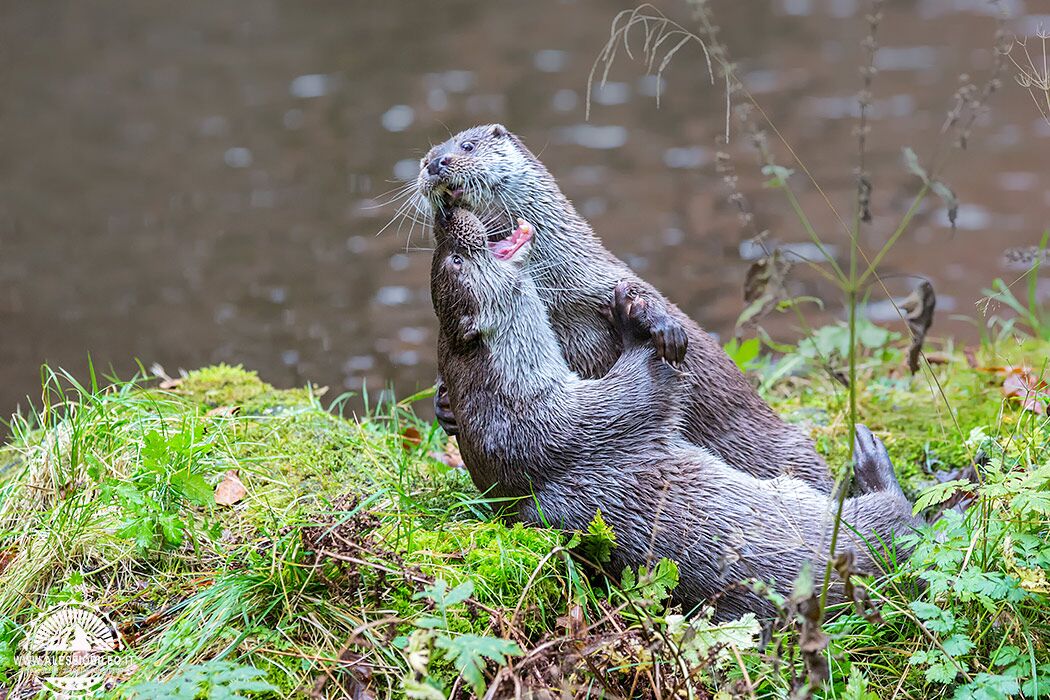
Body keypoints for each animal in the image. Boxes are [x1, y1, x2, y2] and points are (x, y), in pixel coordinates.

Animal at [417, 123, 835, 493]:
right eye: (424, 159)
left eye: (468, 146)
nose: (435, 163)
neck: (553, 290)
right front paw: (444, 406)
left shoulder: (597, 274)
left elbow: (639, 291)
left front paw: (664, 328)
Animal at [430, 207, 915, 617]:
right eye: (455, 259)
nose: (447, 216)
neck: (518, 400)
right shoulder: (580, 423)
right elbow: (649, 381)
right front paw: (635, 319)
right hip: (851, 532)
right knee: (900, 519)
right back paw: (870, 459)